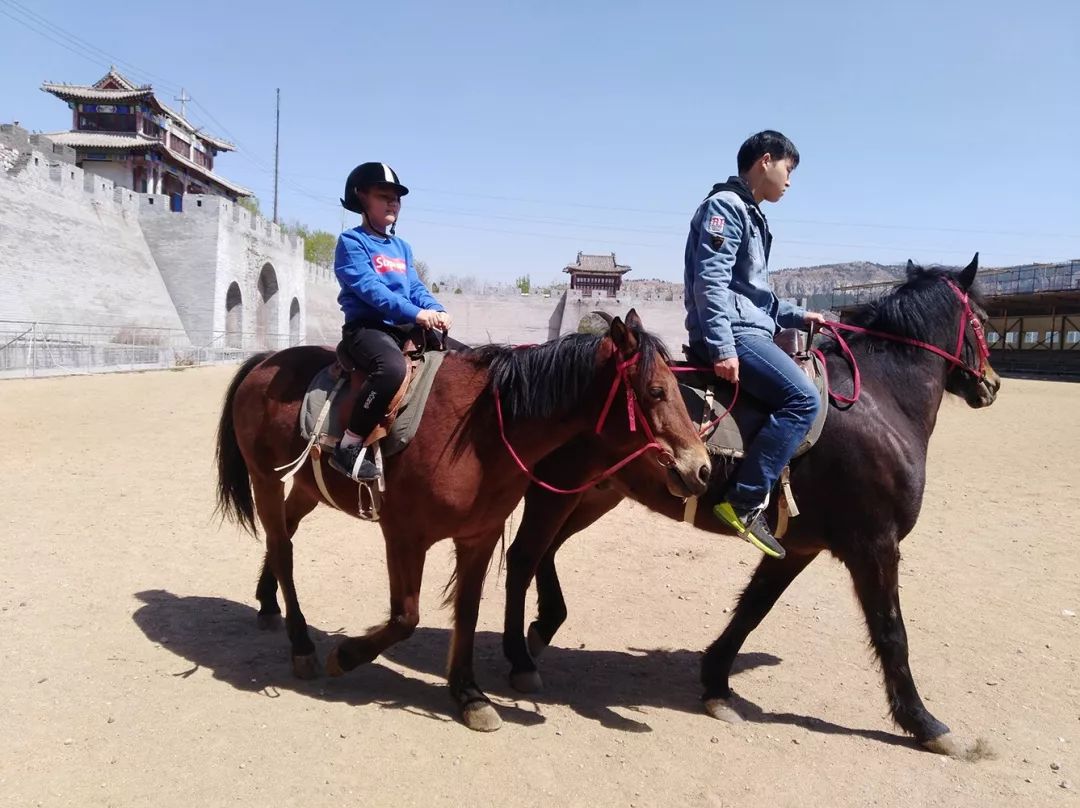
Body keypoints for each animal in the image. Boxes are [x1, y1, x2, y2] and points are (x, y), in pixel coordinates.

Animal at [214, 313, 712, 730]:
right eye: (656, 391)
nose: (702, 468)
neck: (478, 434)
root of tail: (264, 361)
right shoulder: (404, 537)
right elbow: (405, 617)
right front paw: (347, 655)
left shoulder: (479, 536)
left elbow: (467, 612)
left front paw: (469, 693)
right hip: (264, 479)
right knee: (283, 548)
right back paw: (302, 646)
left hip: (304, 487)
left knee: (284, 536)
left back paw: (267, 603)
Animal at [501, 260, 997, 756]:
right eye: (983, 320)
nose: (991, 384)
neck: (879, 402)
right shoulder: (876, 544)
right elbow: (891, 632)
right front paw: (925, 723)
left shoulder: (796, 547)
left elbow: (753, 608)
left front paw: (716, 685)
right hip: (560, 490)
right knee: (523, 557)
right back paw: (521, 659)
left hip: (590, 495)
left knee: (544, 552)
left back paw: (544, 626)